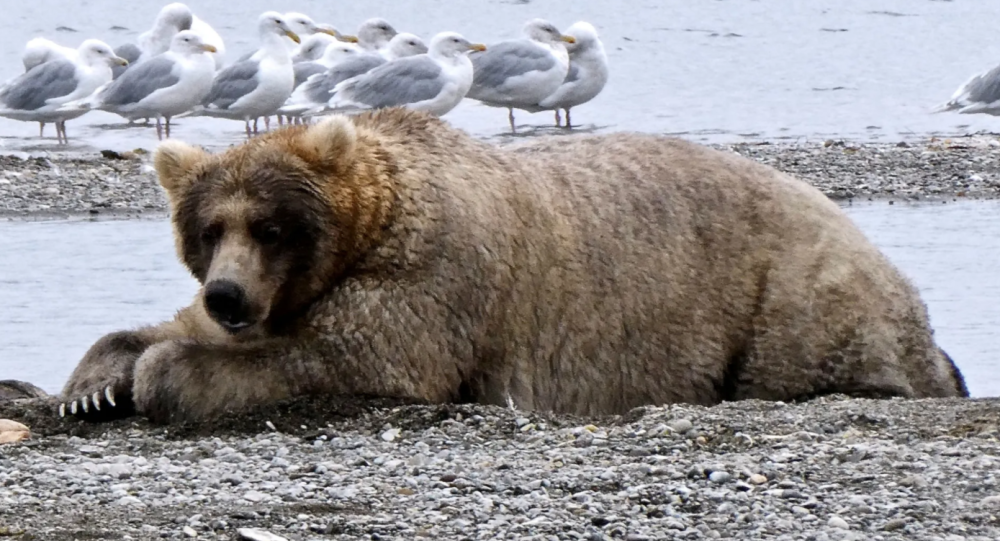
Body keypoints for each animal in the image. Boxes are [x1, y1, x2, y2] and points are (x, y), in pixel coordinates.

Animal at [58, 107, 964, 424]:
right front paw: (95, 381)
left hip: (789, 289)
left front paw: (164, 371)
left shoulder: (429, 279)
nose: (229, 296)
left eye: (273, 225)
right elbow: (156, 327)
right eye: (211, 227)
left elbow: (355, 357)